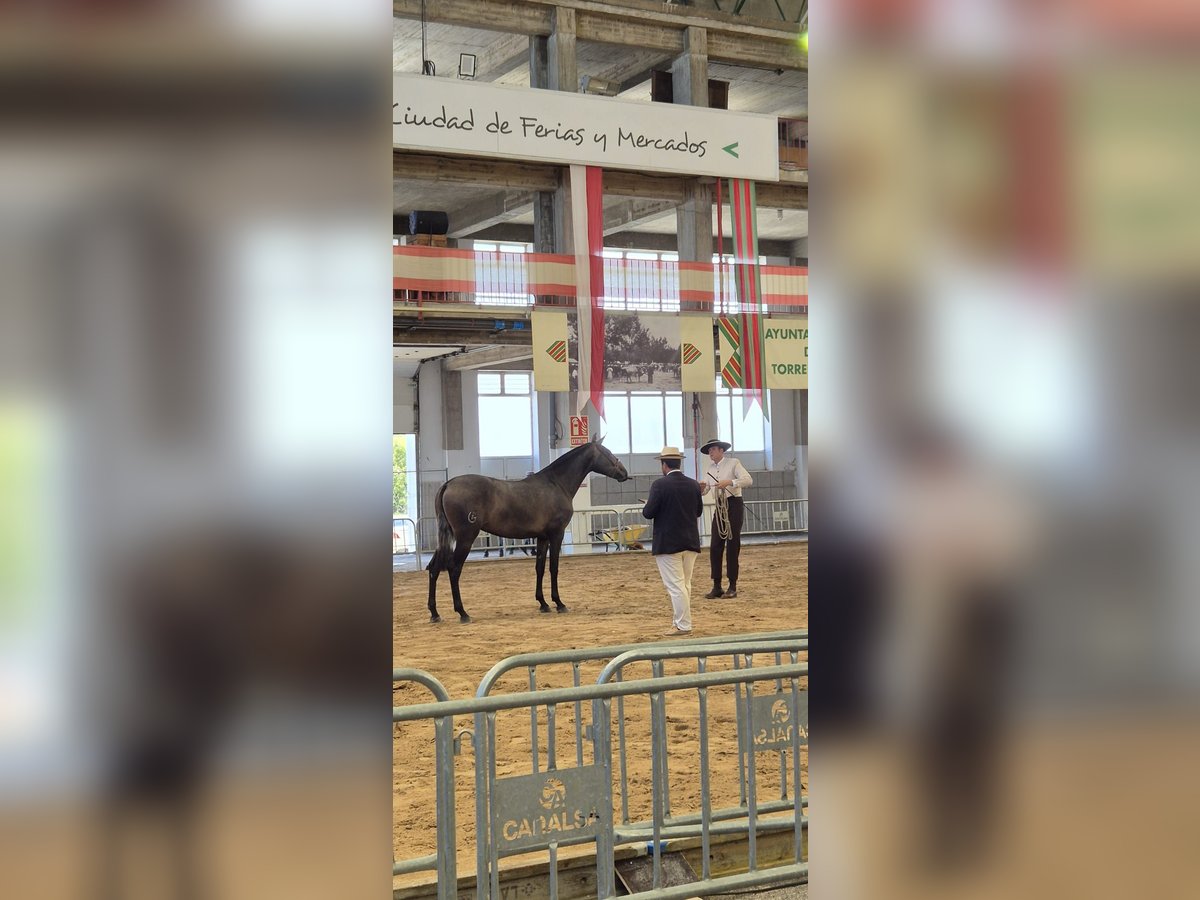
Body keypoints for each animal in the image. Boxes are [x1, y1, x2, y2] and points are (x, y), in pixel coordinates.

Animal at [427, 439, 628, 624]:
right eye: (608, 453)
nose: (624, 473)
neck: (556, 483)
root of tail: (448, 484)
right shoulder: (557, 534)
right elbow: (553, 568)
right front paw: (559, 603)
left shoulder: (542, 537)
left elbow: (539, 568)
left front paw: (543, 603)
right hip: (465, 538)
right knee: (454, 569)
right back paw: (462, 613)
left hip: (447, 538)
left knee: (433, 568)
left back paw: (435, 613)